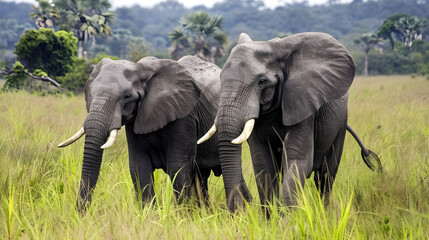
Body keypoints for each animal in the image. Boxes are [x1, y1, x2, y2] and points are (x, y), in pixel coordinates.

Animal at [56, 55, 251, 209]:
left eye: (127, 96)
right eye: (90, 93)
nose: (81, 213)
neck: (141, 68)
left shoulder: (184, 116)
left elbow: (178, 167)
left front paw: (184, 218)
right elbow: (139, 167)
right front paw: (150, 216)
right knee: (201, 176)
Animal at [197, 31, 382, 212]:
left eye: (261, 82)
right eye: (221, 79)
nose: (236, 210)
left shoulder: (303, 102)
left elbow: (297, 160)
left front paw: (287, 219)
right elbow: (263, 163)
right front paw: (271, 218)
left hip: (340, 123)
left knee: (326, 176)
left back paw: (325, 212)